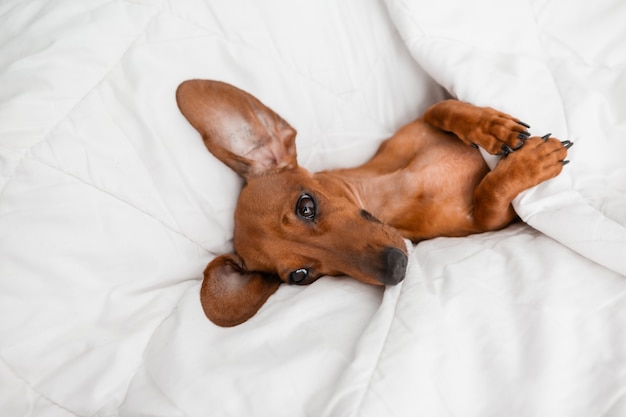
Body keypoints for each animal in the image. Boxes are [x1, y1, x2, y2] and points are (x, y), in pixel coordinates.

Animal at [176, 78, 572, 324]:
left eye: (306, 206)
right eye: (301, 276)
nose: (396, 270)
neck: (393, 188)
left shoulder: (423, 118)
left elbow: (441, 106)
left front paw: (492, 127)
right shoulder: (488, 223)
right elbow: (489, 194)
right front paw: (531, 162)